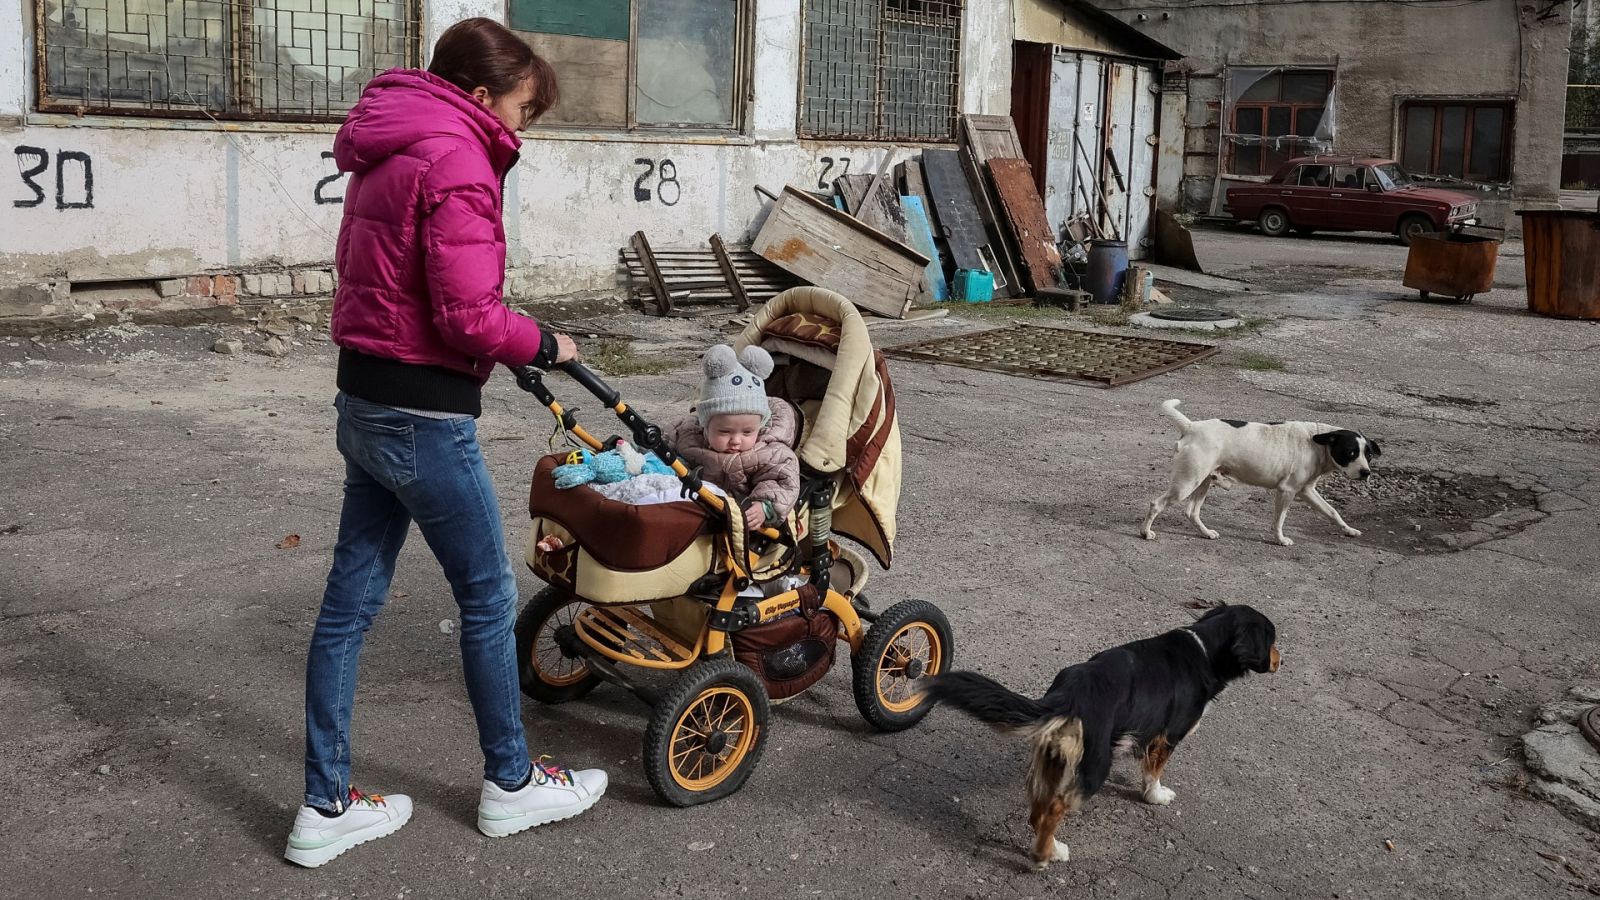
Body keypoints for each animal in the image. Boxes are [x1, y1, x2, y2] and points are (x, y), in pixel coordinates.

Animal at [921, 605, 1280, 864]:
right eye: (1273, 640)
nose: (1281, 660)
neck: (1205, 647)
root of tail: (1069, 693)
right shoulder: (1167, 736)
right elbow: (1154, 772)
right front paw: (1156, 796)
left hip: (1055, 758)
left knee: (1038, 808)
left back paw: (1052, 848)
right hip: (1094, 766)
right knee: (1054, 808)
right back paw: (1042, 857)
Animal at [1139, 397, 1388, 538]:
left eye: (1368, 455)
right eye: (1350, 453)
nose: (1366, 473)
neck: (1319, 442)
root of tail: (1191, 427)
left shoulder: (1307, 491)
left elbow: (1332, 512)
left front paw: (1349, 530)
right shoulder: (1287, 490)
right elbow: (1279, 520)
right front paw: (1280, 539)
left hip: (1202, 482)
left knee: (1191, 512)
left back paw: (1206, 533)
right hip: (1186, 483)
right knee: (1156, 504)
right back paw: (1146, 532)